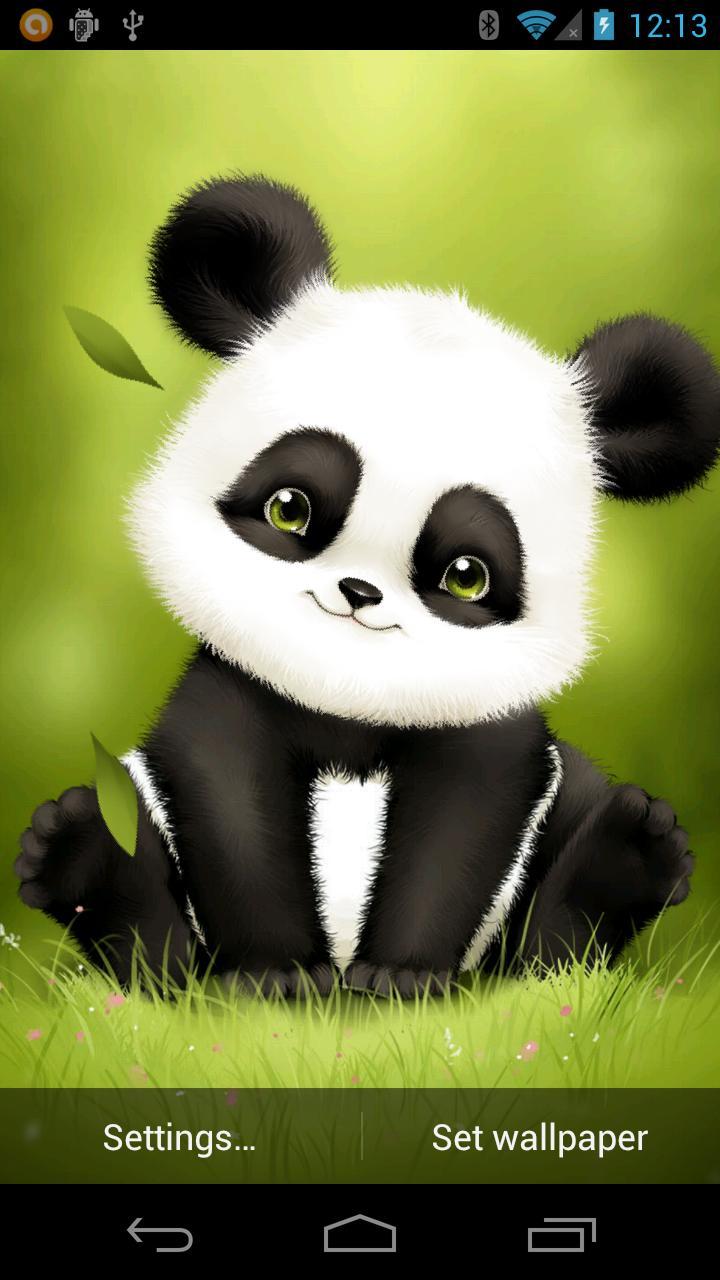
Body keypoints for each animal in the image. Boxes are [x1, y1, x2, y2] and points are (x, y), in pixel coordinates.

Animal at [15, 175, 719, 997]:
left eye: (466, 575)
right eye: (290, 508)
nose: (358, 593)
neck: (347, 700)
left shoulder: (481, 726)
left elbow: (461, 826)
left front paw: (402, 975)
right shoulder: (231, 689)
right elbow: (228, 799)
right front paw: (278, 975)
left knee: (554, 934)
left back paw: (625, 860)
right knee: (138, 885)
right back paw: (86, 861)